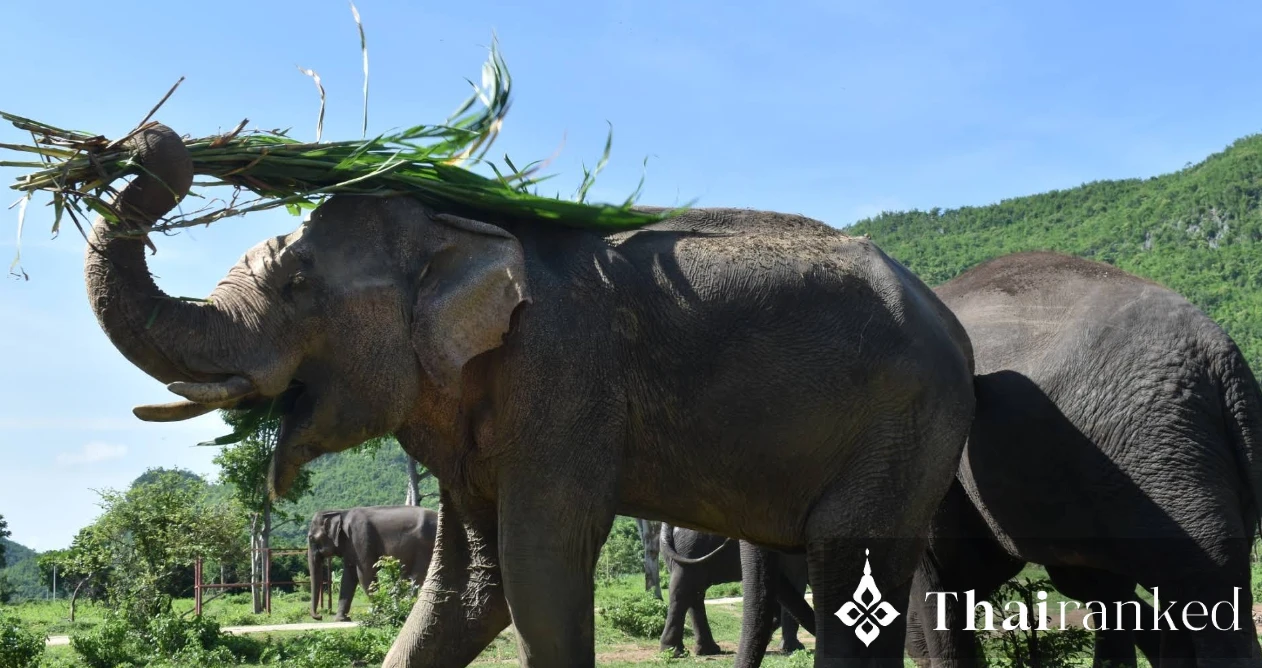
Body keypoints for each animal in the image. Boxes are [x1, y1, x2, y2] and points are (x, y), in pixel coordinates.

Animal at [307, 505, 439, 621]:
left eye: (311, 538)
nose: (319, 616)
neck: (341, 511)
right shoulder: (350, 545)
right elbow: (349, 576)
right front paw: (341, 619)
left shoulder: (360, 538)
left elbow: (365, 573)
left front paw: (381, 615)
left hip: (426, 547)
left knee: (416, 577)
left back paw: (406, 609)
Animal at [658, 523, 808, 658]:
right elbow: (796, 581)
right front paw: (794, 648)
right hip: (692, 546)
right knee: (684, 589)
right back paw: (676, 652)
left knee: (694, 591)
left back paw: (707, 651)